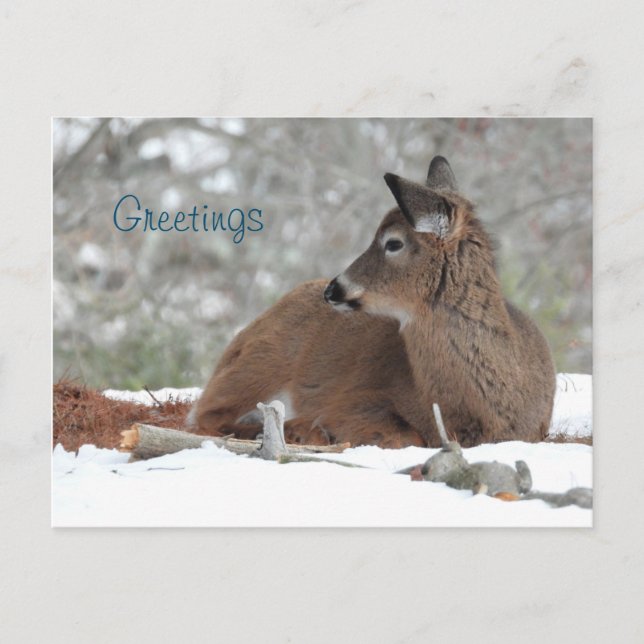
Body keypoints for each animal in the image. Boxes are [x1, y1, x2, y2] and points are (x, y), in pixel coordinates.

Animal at [193, 156, 556, 449]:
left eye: (393, 243)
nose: (333, 289)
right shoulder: (359, 398)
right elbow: (403, 435)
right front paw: (311, 429)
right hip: (260, 363)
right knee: (205, 414)